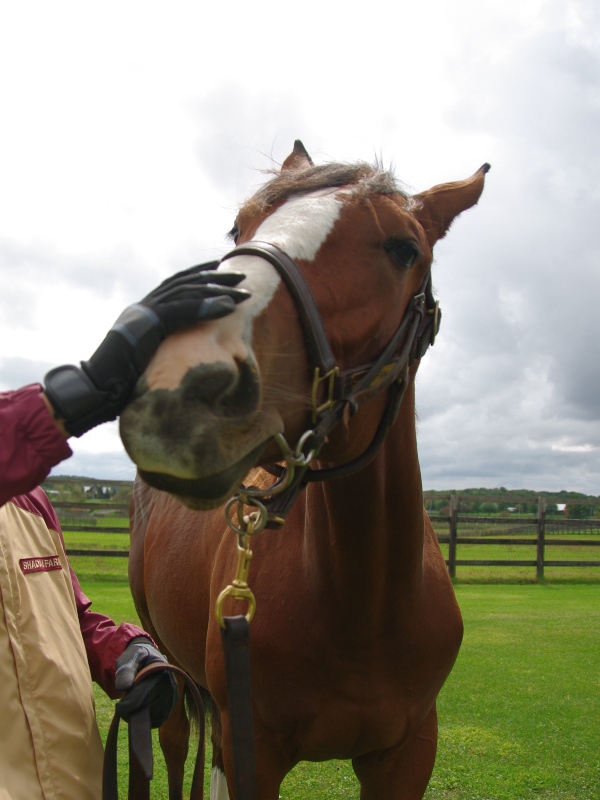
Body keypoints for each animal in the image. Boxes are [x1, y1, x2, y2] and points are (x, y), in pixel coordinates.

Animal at [120, 141, 489, 799]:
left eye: (404, 249)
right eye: (238, 226)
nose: (183, 376)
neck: (362, 608)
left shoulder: (408, 754)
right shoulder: (253, 752)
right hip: (170, 666)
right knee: (178, 741)